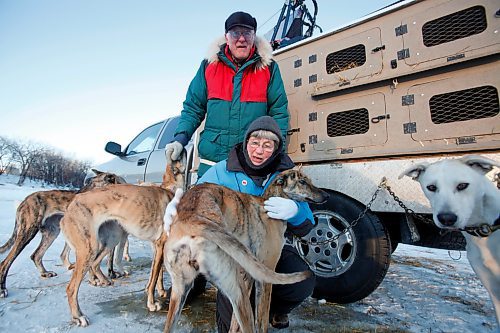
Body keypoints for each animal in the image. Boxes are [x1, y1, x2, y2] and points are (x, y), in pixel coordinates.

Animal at [60, 158, 186, 324]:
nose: (77, 191)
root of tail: (71, 205)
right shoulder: (160, 245)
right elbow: (153, 279)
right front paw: (152, 303)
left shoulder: (157, 247)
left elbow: (157, 273)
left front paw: (160, 291)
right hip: (89, 249)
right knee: (71, 288)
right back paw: (78, 316)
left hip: (110, 240)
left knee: (94, 264)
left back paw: (104, 281)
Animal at [163, 169, 328, 332]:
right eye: (302, 182)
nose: (326, 196)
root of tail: (191, 219)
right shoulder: (265, 275)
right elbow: (261, 321)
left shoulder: (248, 276)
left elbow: (234, 324)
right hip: (238, 291)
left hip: (182, 291)